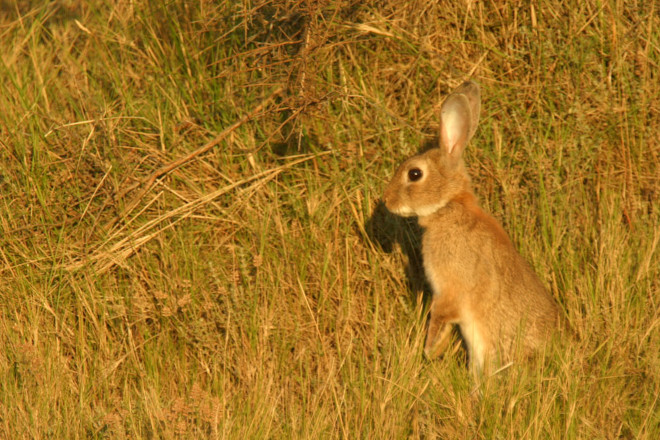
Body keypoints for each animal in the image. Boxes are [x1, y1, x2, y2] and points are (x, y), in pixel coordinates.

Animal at [384, 81, 560, 372]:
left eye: (415, 174)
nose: (387, 200)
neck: (448, 205)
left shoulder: (449, 286)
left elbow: (441, 315)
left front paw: (430, 350)